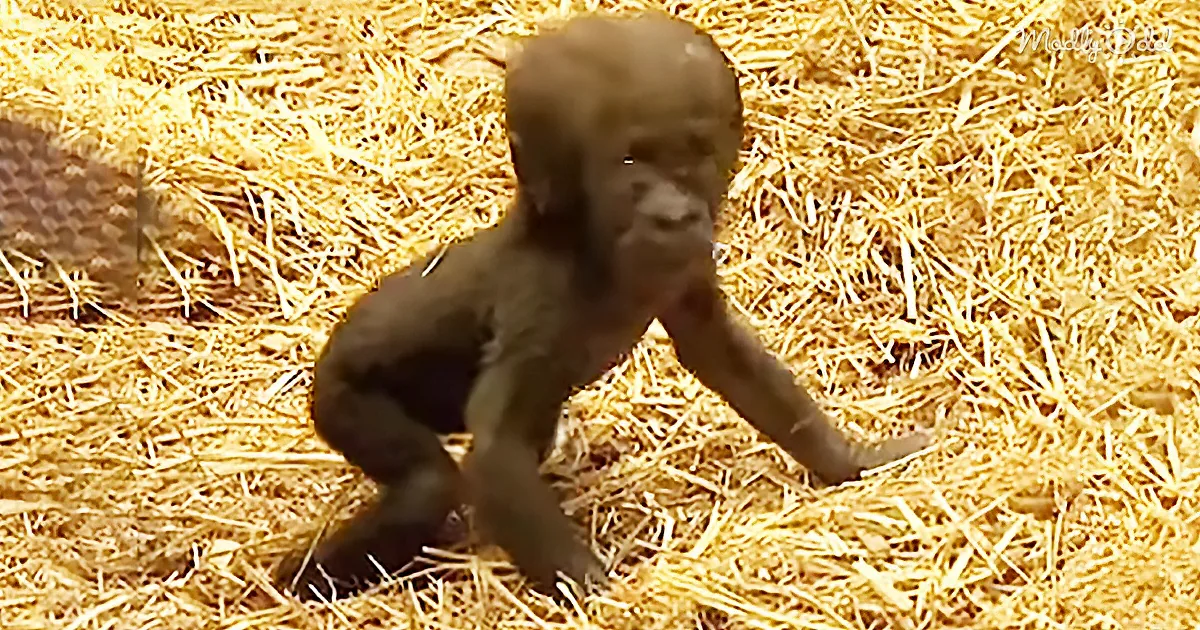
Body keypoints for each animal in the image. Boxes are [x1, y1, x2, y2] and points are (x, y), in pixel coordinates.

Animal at [272, 11, 932, 603]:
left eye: (693, 153)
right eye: (632, 163)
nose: (674, 214)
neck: (583, 240)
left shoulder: (684, 270)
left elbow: (723, 355)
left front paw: (854, 461)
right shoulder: (543, 296)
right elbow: (497, 448)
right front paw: (602, 592)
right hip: (340, 396)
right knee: (428, 482)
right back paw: (298, 581)